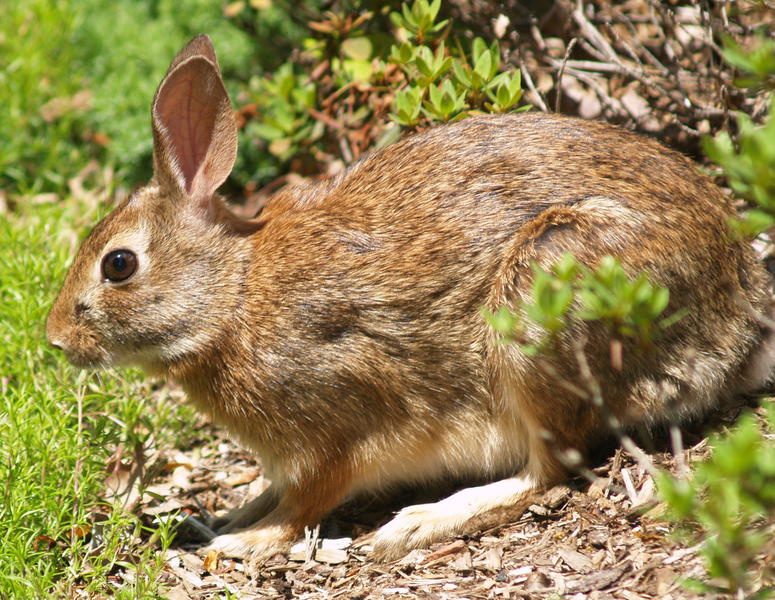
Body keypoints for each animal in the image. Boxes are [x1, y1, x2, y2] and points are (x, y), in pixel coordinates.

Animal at [44, 36, 775, 564]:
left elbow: (307, 500)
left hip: (540, 304)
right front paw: (223, 516)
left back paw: (421, 522)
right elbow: (271, 490)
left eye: (118, 265)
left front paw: (246, 541)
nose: (55, 340)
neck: (234, 296)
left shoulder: (335, 425)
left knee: (550, 468)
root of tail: (736, 324)